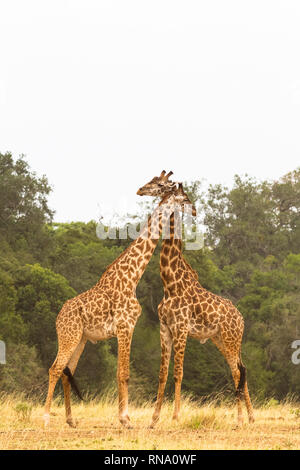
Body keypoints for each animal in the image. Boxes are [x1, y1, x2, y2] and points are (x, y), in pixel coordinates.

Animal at [42, 170, 178, 430]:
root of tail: (57, 318)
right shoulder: (125, 326)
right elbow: (123, 373)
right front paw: (125, 420)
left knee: (66, 371)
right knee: (55, 368)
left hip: (81, 339)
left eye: (158, 183)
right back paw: (45, 419)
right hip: (69, 336)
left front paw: (125, 418)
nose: (140, 190)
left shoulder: (126, 328)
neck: (132, 276)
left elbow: (121, 373)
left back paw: (71, 420)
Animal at [137, 175, 254, 426]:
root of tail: (241, 319)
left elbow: (178, 372)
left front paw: (176, 416)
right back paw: (250, 417)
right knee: (240, 369)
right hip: (221, 340)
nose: (140, 190)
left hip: (231, 339)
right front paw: (154, 418)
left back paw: (241, 418)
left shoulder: (181, 329)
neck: (170, 284)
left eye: (160, 184)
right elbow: (162, 373)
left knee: (237, 371)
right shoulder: (165, 328)